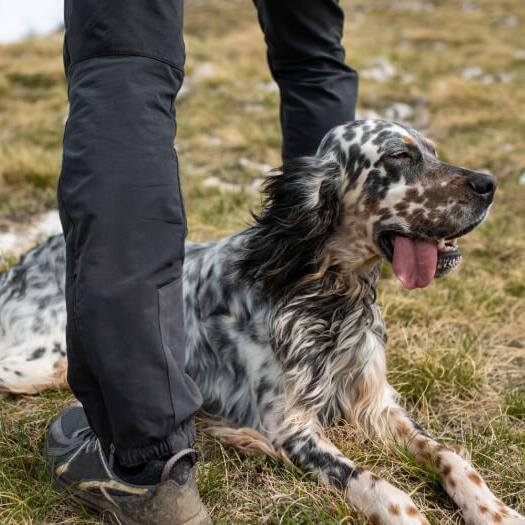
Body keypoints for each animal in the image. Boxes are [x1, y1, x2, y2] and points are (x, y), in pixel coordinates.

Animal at [1, 121, 524, 520]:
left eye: (433, 151)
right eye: (399, 156)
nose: (489, 185)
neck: (323, 294)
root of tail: (31, 256)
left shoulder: (375, 402)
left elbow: (450, 456)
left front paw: (495, 511)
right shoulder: (290, 427)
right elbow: (377, 484)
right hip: (41, 363)